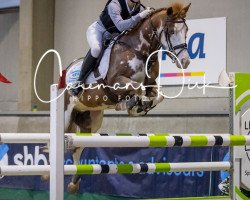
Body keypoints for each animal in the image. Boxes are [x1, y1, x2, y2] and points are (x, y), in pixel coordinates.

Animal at [63, 1, 190, 192]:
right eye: (172, 31)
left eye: (186, 30)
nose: (185, 61)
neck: (139, 50)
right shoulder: (116, 82)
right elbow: (137, 89)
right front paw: (131, 105)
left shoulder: (151, 84)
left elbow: (158, 95)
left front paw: (139, 107)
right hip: (65, 115)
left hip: (91, 120)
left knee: (78, 148)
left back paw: (74, 182)